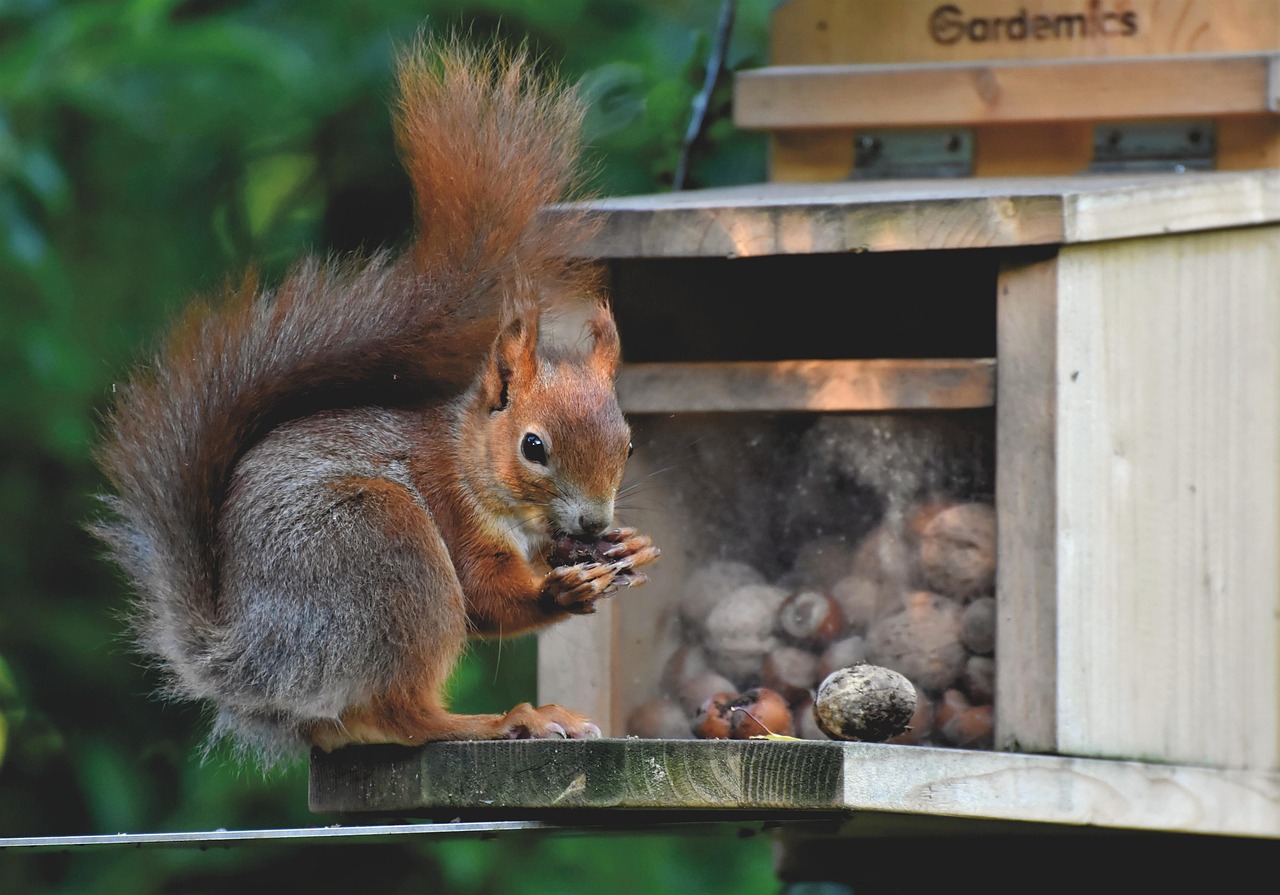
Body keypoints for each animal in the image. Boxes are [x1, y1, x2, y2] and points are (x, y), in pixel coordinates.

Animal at [90, 35, 660, 763]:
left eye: (629, 445)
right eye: (533, 446)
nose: (592, 523)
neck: (472, 464)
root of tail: (252, 661)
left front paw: (628, 549)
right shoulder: (451, 511)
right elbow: (488, 599)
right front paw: (564, 588)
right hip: (386, 549)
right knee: (407, 715)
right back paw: (507, 720)